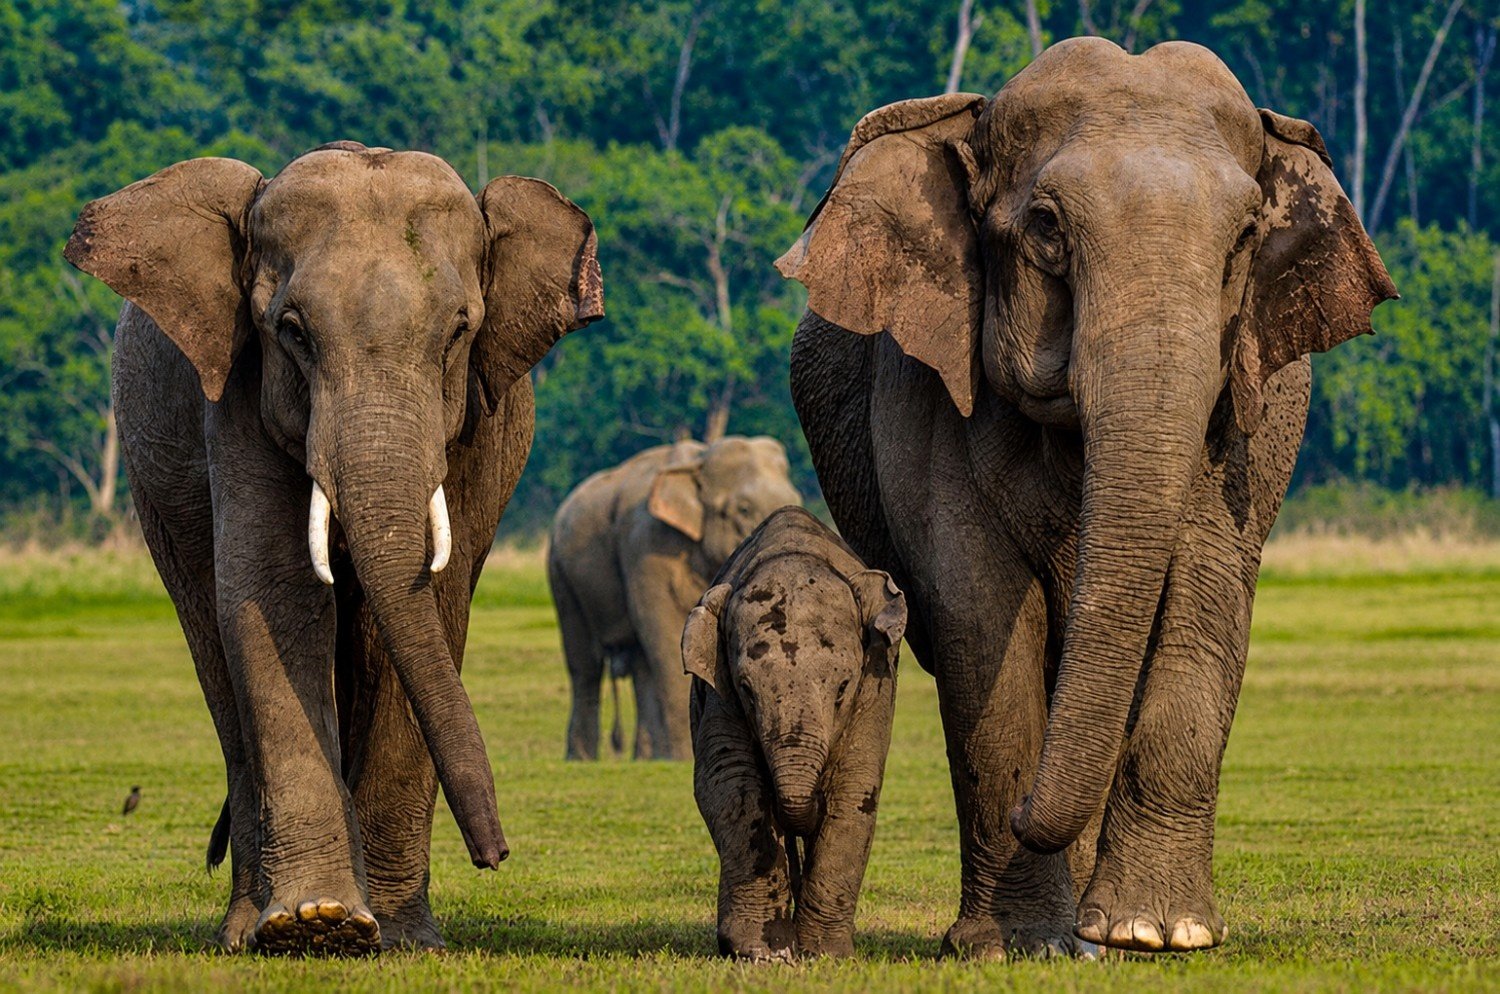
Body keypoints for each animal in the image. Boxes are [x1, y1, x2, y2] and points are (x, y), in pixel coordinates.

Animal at [64, 141, 603, 953]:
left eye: (459, 331)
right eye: (292, 331)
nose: (496, 852)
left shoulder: (480, 426)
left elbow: (430, 607)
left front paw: (401, 938)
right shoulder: (239, 395)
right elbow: (274, 596)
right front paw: (317, 923)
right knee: (215, 654)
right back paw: (246, 928)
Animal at [547, 436, 801, 760]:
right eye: (744, 509)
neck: (698, 462)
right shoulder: (647, 546)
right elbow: (666, 634)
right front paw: (683, 758)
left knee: (641, 664)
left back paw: (646, 758)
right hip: (562, 575)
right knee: (586, 664)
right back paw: (582, 759)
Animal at [683, 506, 906, 961]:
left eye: (842, 689)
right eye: (748, 692)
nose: (812, 799)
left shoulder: (876, 683)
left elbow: (856, 789)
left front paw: (824, 953)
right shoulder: (718, 688)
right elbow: (732, 784)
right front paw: (762, 952)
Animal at [777, 39, 1396, 957]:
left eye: (1246, 238)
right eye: (1045, 227)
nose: (1029, 812)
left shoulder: (1245, 427)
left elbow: (1207, 593)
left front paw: (1158, 932)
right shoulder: (924, 386)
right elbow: (978, 613)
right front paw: (1017, 942)